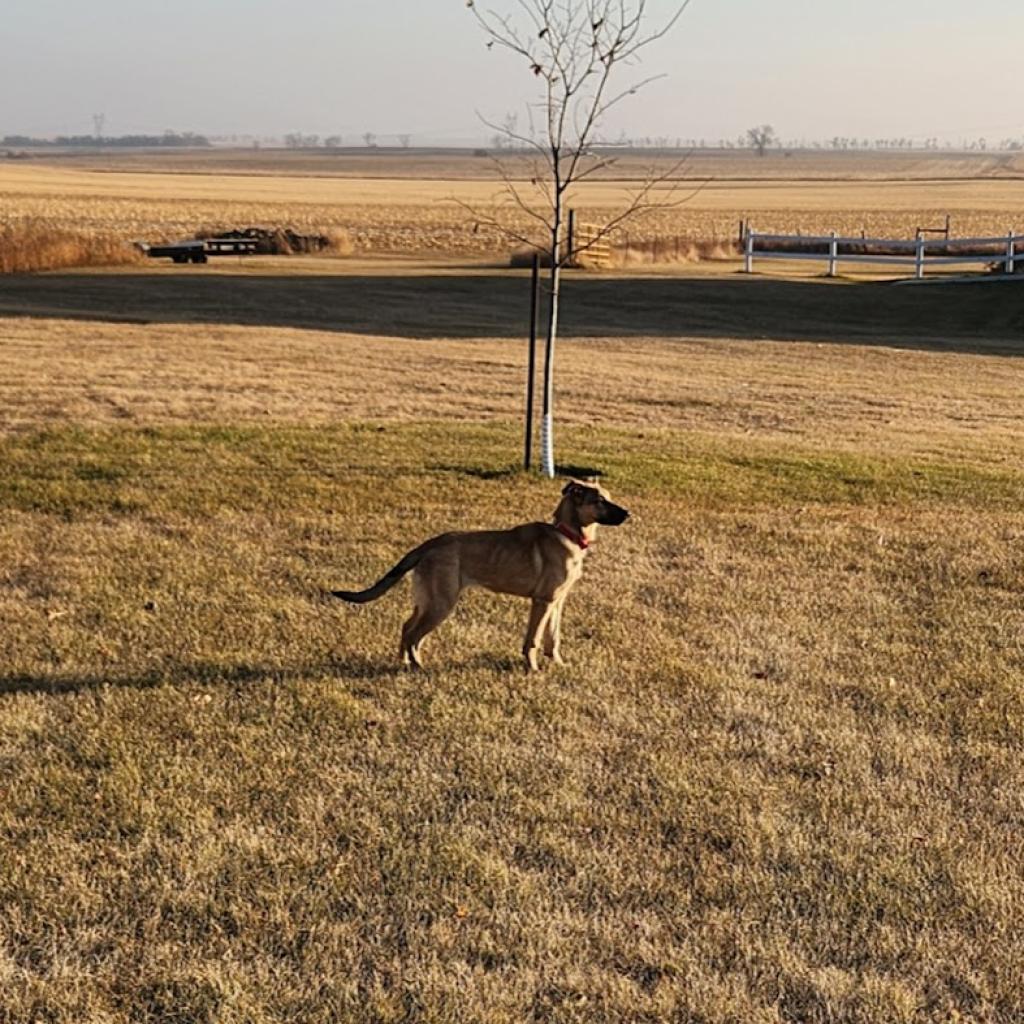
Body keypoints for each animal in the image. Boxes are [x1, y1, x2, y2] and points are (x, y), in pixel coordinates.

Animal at [331, 481, 626, 671]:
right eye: (600, 501)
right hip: (441, 603)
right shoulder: (542, 601)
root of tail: (429, 544)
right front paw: (532, 670)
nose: (628, 513)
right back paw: (418, 666)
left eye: (608, 497)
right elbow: (532, 640)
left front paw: (559, 664)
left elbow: (552, 638)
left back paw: (404, 662)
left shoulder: (557, 602)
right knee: (414, 634)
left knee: (406, 628)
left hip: (427, 600)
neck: (566, 533)